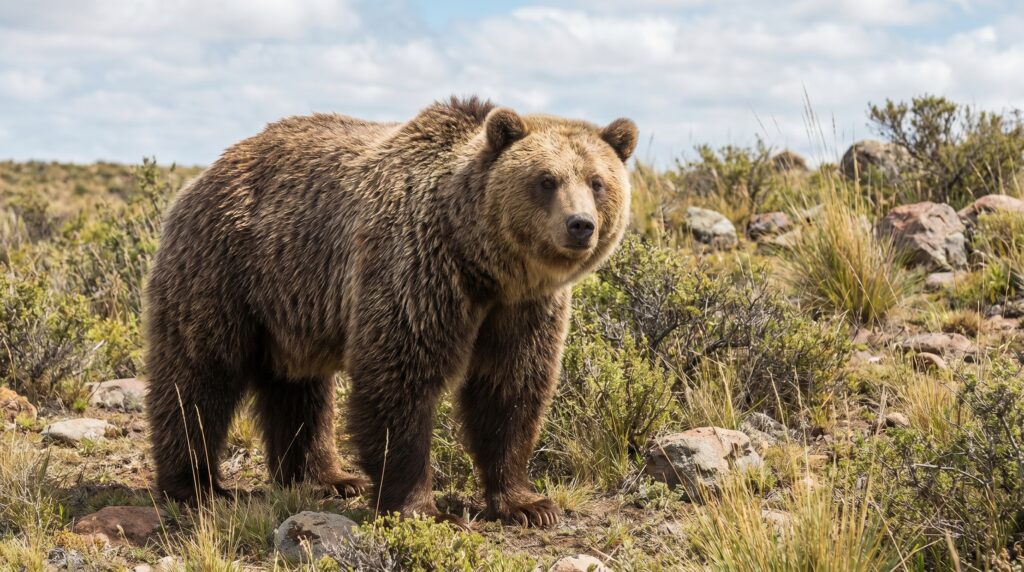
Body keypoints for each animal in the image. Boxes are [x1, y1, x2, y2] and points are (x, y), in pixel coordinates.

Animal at [144, 96, 637, 527]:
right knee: (199, 373)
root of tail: (206, 173)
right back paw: (195, 485)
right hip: (225, 269)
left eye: (597, 181)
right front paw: (423, 508)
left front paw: (527, 504)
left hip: (291, 307)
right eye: (546, 180)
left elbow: (510, 389)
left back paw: (327, 478)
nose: (580, 225)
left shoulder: (522, 309)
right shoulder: (417, 271)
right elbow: (401, 379)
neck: (481, 263)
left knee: (298, 389)